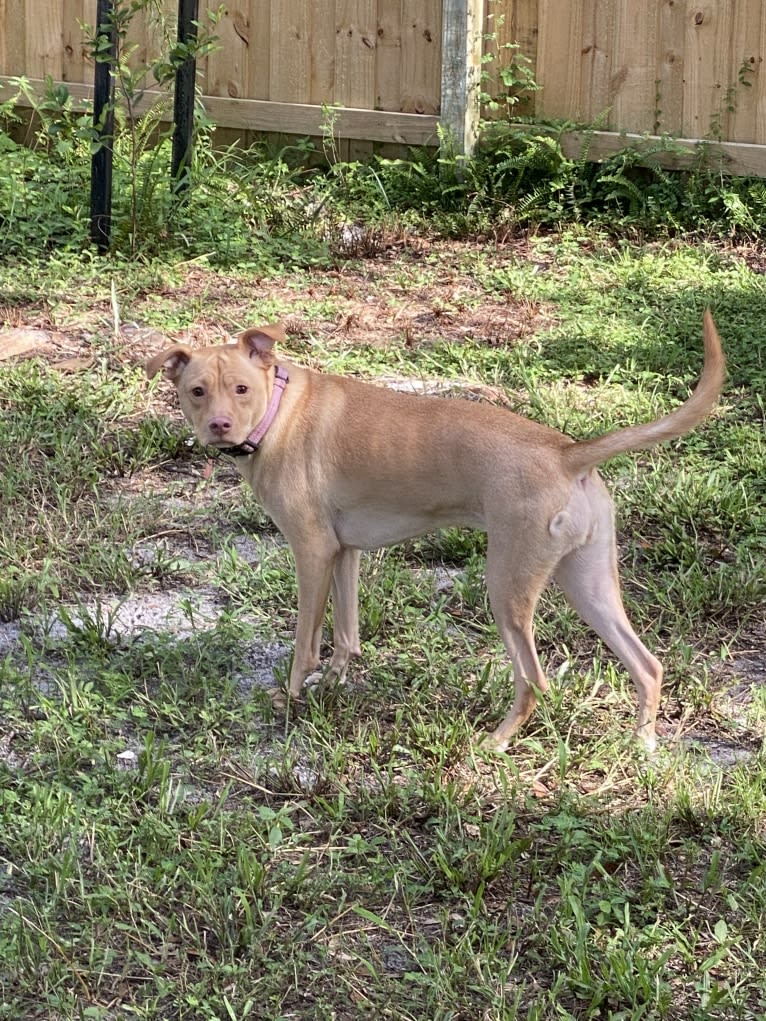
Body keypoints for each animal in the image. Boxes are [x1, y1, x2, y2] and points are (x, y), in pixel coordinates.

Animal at [147, 314, 727, 755]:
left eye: (241, 389)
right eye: (196, 392)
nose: (219, 426)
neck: (278, 410)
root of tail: (567, 453)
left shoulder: (311, 551)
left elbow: (305, 645)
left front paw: (292, 699)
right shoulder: (344, 552)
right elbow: (346, 635)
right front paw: (335, 685)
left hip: (508, 589)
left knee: (534, 680)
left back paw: (496, 741)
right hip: (588, 583)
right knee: (647, 665)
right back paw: (643, 742)